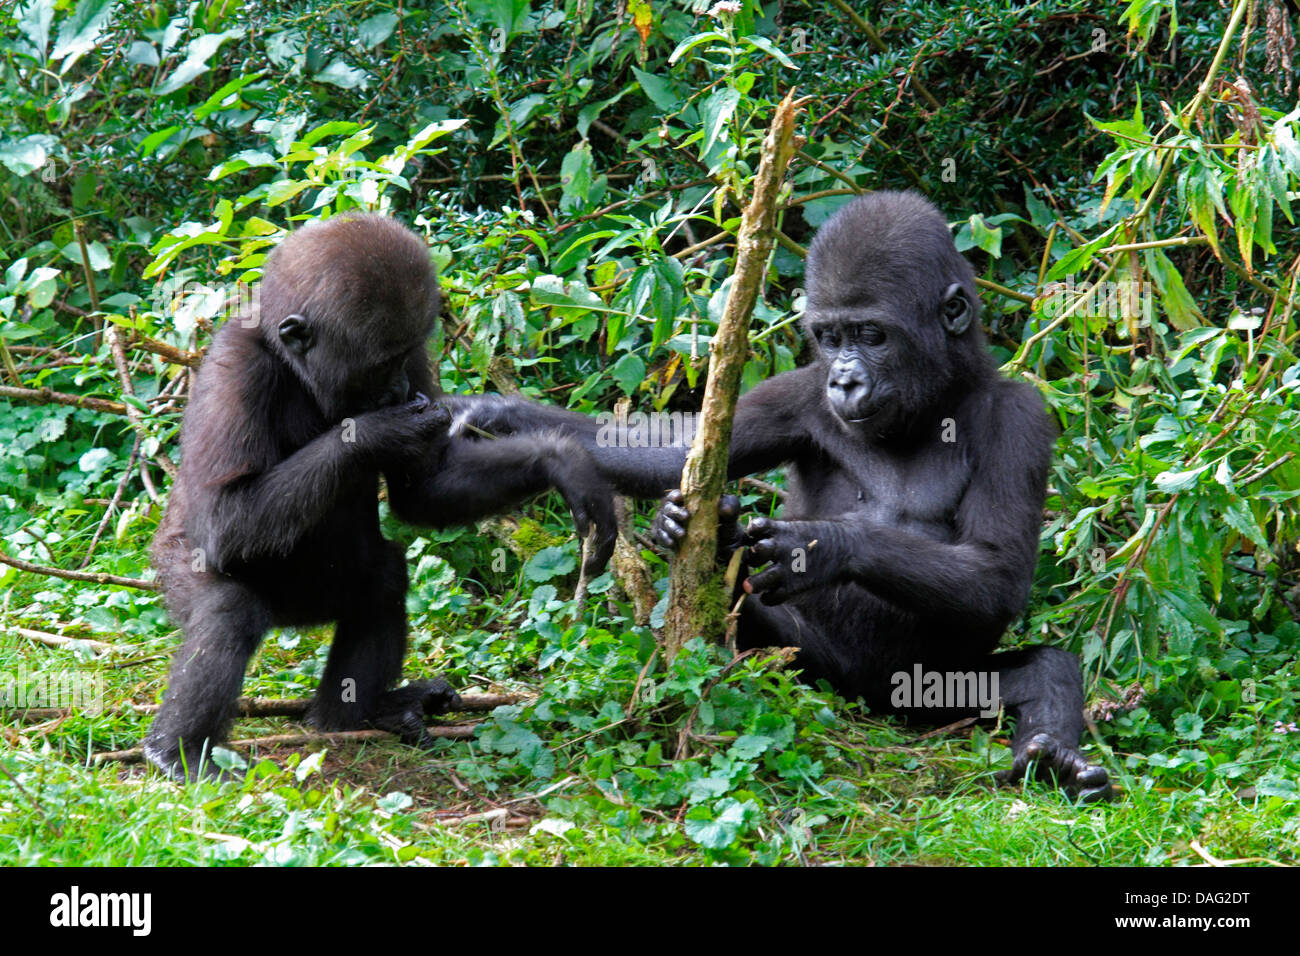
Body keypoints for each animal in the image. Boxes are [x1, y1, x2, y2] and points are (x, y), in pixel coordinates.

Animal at [144, 213, 611, 780]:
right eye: (378, 365)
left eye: (405, 357)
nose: (399, 392)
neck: (297, 369)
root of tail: (293, 623)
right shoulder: (236, 367)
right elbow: (224, 517)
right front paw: (375, 433)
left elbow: (425, 493)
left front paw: (557, 458)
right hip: (176, 572)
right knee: (228, 607)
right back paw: (179, 750)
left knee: (385, 574)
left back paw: (352, 714)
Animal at [454, 188, 1107, 801]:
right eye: (830, 337)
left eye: (872, 335)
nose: (844, 380)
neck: (937, 402)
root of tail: (877, 707)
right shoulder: (797, 393)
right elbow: (675, 450)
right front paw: (500, 417)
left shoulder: (1022, 419)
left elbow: (997, 570)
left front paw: (818, 549)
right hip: (823, 674)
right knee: (758, 632)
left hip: (936, 688)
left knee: (1043, 668)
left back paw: (1054, 754)